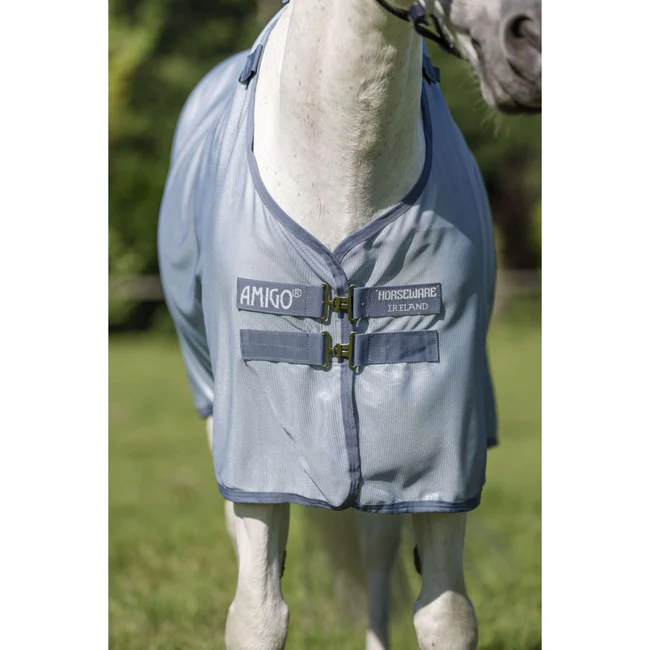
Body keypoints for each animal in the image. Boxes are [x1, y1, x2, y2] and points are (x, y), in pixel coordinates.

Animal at [157, 1, 541, 648]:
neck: (344, 166)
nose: (528, 40)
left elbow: (446, 614)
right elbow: (258, 615)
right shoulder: (257, 449)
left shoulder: (442, 446)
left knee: (377, 552)